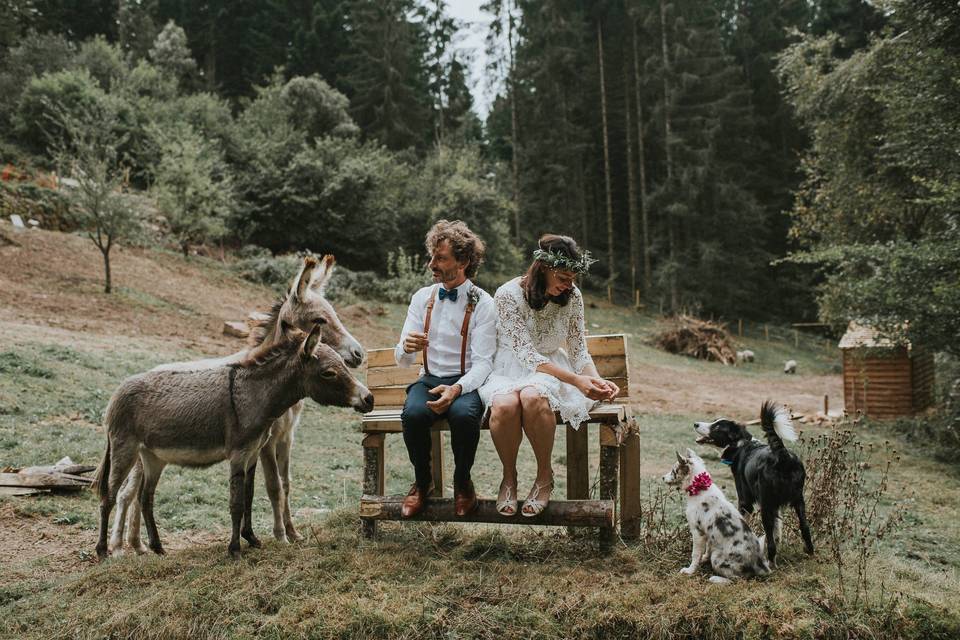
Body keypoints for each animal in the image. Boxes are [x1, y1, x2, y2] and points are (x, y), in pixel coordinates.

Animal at [664, 448, 768, 584]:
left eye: (673, 471)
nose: (662, 477)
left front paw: (690, 570)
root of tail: (760, 565)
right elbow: (708, 548)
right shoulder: (708, 532)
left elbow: (695, 554)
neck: (699, 487)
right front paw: (704, 558)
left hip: (718, 558)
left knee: (738, 580)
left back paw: (716, 579)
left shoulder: (697, 532)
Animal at [692, 400, 812, 564]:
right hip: (798, 501)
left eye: (717, 427)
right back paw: (810, 552)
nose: (695, 424)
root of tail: (782, 454)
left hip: (766, 505)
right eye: (714, 421)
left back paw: (770, 561)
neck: (739, 445)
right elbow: (778, 528)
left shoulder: (745, 502)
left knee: (770, 537)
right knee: (805, 527)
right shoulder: (776, 506)